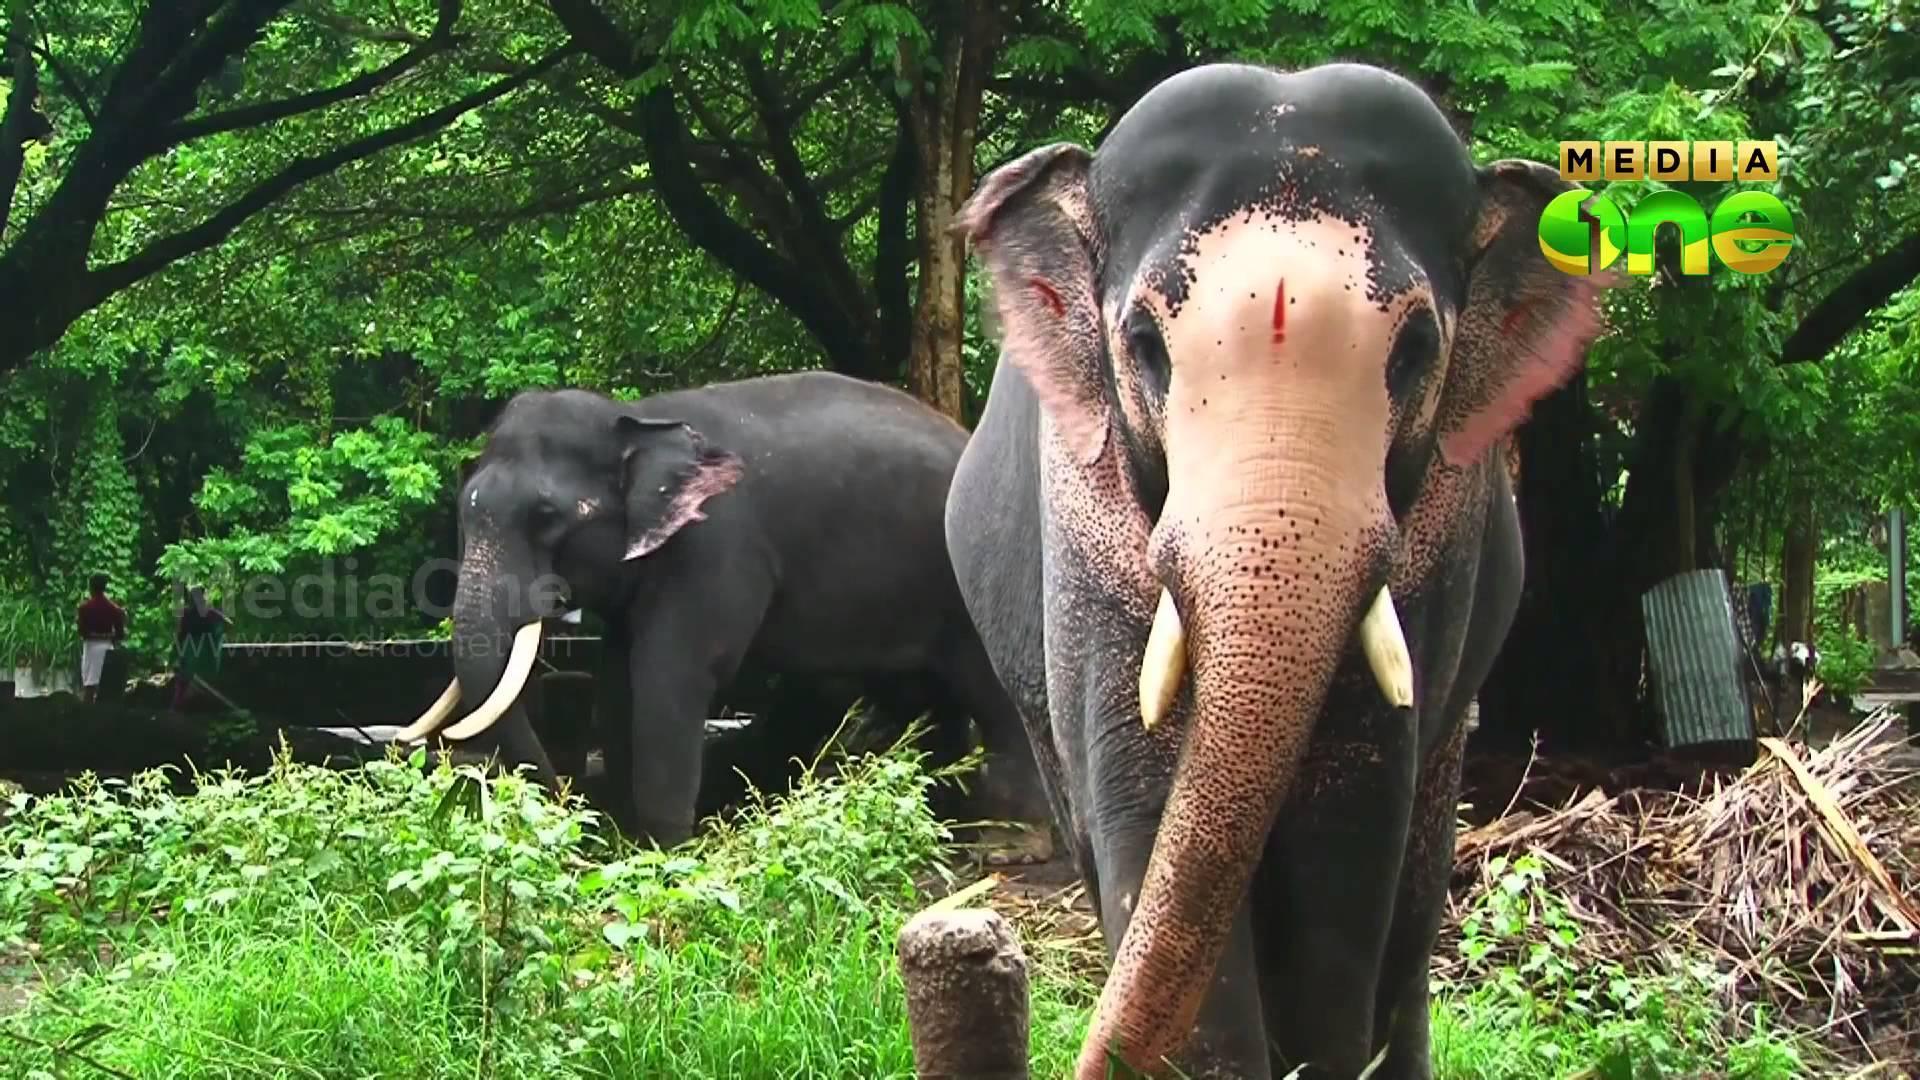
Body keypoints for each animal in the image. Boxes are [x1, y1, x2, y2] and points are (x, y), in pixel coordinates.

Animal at [398, 371, 1054, 860]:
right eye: (464, 512)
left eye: (547, 517)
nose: (568, 805)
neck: (638, 420)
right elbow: (619, 676)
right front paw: (627, 838)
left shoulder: (717, 547)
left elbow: (673, 673)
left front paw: (664, 850)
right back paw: (940, 819)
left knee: (995, 691)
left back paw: (1006, 845)